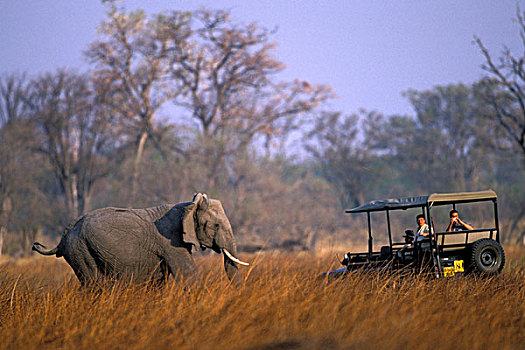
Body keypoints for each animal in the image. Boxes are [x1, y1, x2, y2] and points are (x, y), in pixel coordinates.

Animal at [31, 193, 249, 286]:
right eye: (217, 225)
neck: (189, 205)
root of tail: (64, 236)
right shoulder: (172, 242)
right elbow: (189, 275)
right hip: (81, 252)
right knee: (94, 285)